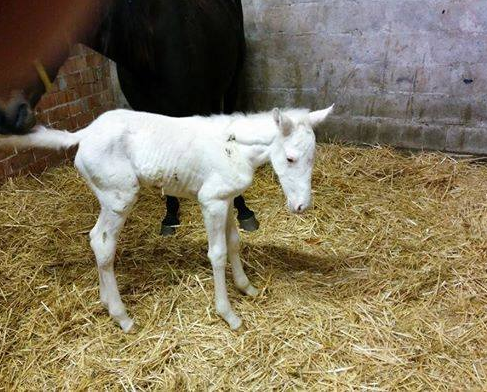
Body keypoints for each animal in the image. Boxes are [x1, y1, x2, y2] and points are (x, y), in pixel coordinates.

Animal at [0, 105, 334, 330]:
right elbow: (217, 253)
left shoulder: (226, 199)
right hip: (119, 197)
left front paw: (246, 287)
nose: (302, 206)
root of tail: (84, 134)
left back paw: (106, 302)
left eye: (313, 157)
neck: (234, 147)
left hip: (108, 196)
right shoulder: (211, 201)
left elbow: (234, 242)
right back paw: (123, 317)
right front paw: (229, 314)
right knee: (103, 243)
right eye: (289, 158)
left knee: (96, 240)